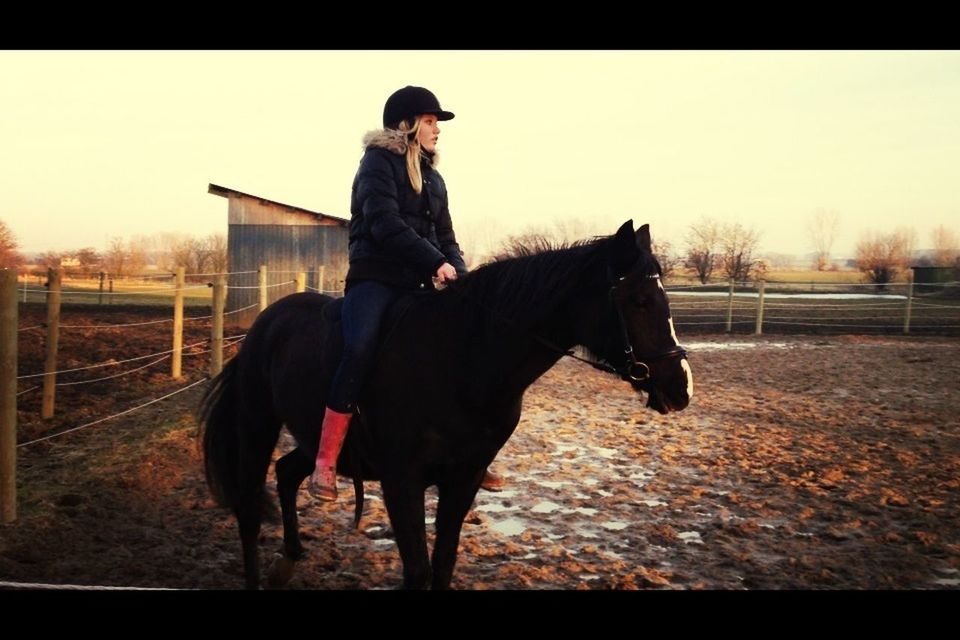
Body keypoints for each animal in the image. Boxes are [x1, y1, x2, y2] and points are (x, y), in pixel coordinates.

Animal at [201, 221, 688, 592]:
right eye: (640, 301)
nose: (681, 387)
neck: (464, 357)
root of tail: (265, 323)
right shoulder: (402, 480)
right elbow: (417, 571)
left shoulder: (464, 478)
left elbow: (443, 564)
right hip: (256, 425)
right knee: (249, 509)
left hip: (315, 439)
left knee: (286, 473)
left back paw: (289, 559)